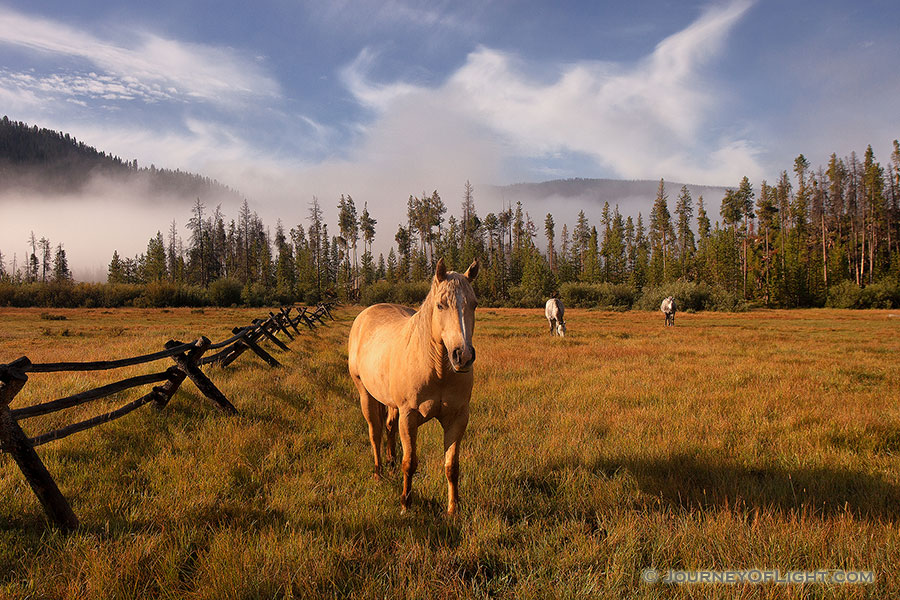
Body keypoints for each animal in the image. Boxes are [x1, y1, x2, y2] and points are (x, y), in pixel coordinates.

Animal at [348, 258, 482, 516]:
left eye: (474, 304)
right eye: (440, 305)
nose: (462, 356)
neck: (437, 369)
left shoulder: (457, 418)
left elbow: (452, 466)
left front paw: (453, 509)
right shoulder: (409, 416)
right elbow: (410, 463)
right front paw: (405, 504)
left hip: (391, 403)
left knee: (389, 427)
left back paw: (390, 462)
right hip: (365, 395)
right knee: (375, 432)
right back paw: (379, 473)